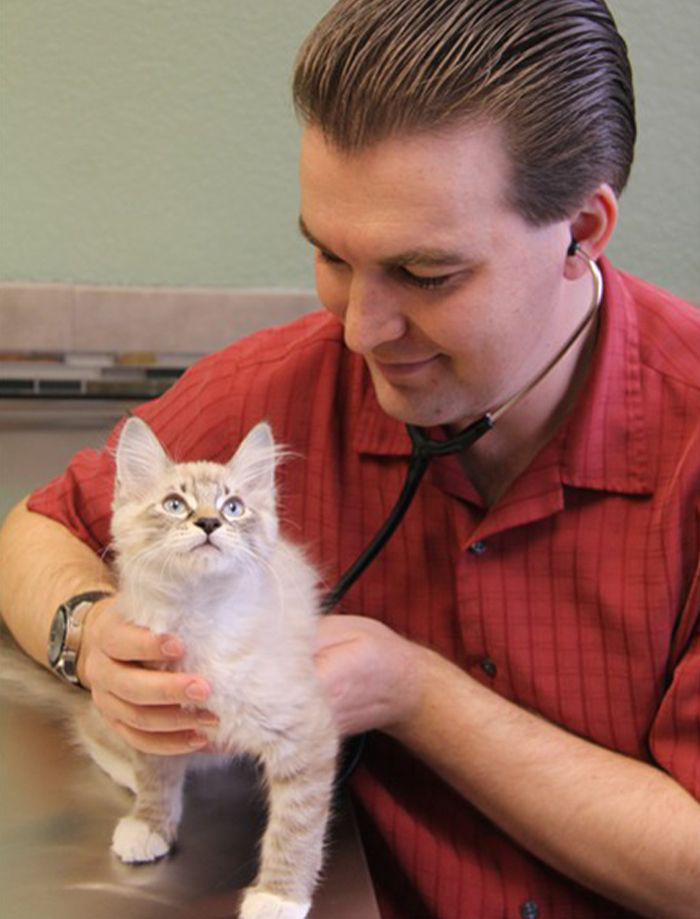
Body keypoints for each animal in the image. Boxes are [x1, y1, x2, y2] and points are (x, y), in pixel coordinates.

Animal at [0, 418, 340, 919]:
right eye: (175, 504)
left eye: (233, 507)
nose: (210, 522)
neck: (199, 617)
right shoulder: (148, 711)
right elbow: (155, 778)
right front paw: (150, 824)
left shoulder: (307, 733)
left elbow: (296, 827)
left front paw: (278, 896)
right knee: (91, 732)